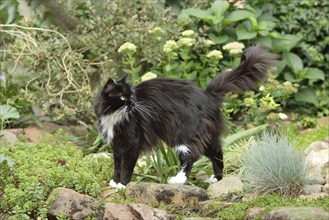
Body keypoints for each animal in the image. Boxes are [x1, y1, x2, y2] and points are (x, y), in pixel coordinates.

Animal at [93, 45, 276, 189]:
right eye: (123, 97)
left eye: (130, 96)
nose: (132, 104)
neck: (114, 117)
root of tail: (206, 95)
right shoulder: (117, 147)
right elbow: (117, 166)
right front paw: (115, 182)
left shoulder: (131, 145)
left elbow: (126, 168)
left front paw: (123, 185)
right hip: (207, 137)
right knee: (218, 154)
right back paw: (216, 179)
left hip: (184, 135)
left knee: (190, 157)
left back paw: (177, 180)